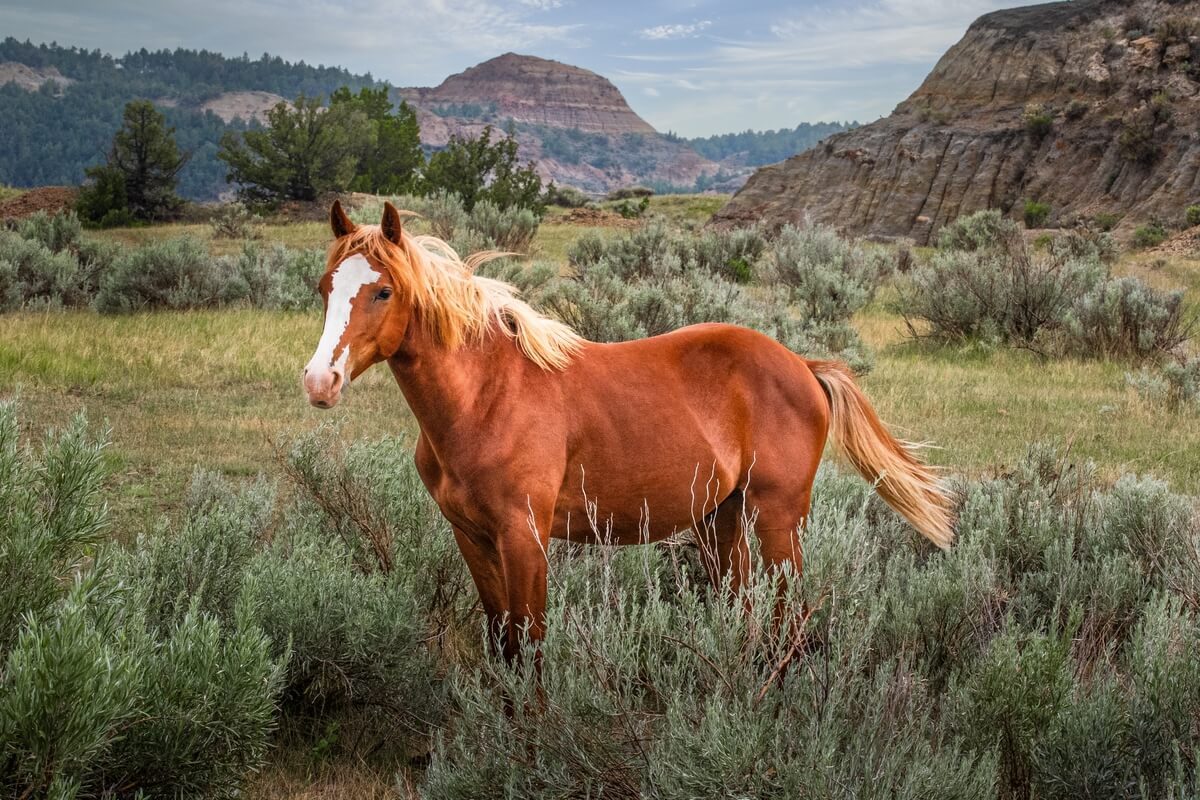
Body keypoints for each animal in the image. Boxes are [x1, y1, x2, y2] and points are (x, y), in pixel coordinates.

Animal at [303, 200, 955, 661]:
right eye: (326, 286)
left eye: (384, 290)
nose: (319, 381)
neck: (485, 397)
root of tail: (802, 365)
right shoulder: (472, 537)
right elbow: (501, 644)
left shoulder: (524, 538)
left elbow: (529, 646)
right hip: (721, 519)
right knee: (743, 612)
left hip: (778, 518)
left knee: (784, 619)